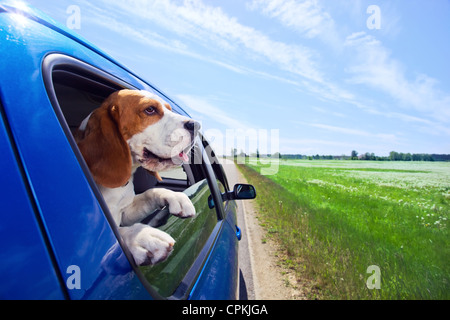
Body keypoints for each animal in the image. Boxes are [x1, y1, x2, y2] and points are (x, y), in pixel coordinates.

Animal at [75, 89, 199, 266]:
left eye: (169, 109)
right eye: (150, 110)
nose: (196, 125)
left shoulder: (126, 212)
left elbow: (150, 193)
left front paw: (176, 196)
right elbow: (119, 233)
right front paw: (141, 236)